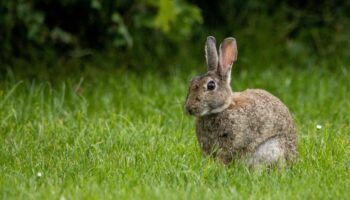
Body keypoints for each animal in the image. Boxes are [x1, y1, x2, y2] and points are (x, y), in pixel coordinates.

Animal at [185, 36, 296, 169]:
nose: (189, 108)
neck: (223, 109)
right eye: (191, 82)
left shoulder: (233, 142)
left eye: (211, 85)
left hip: (271, 148)